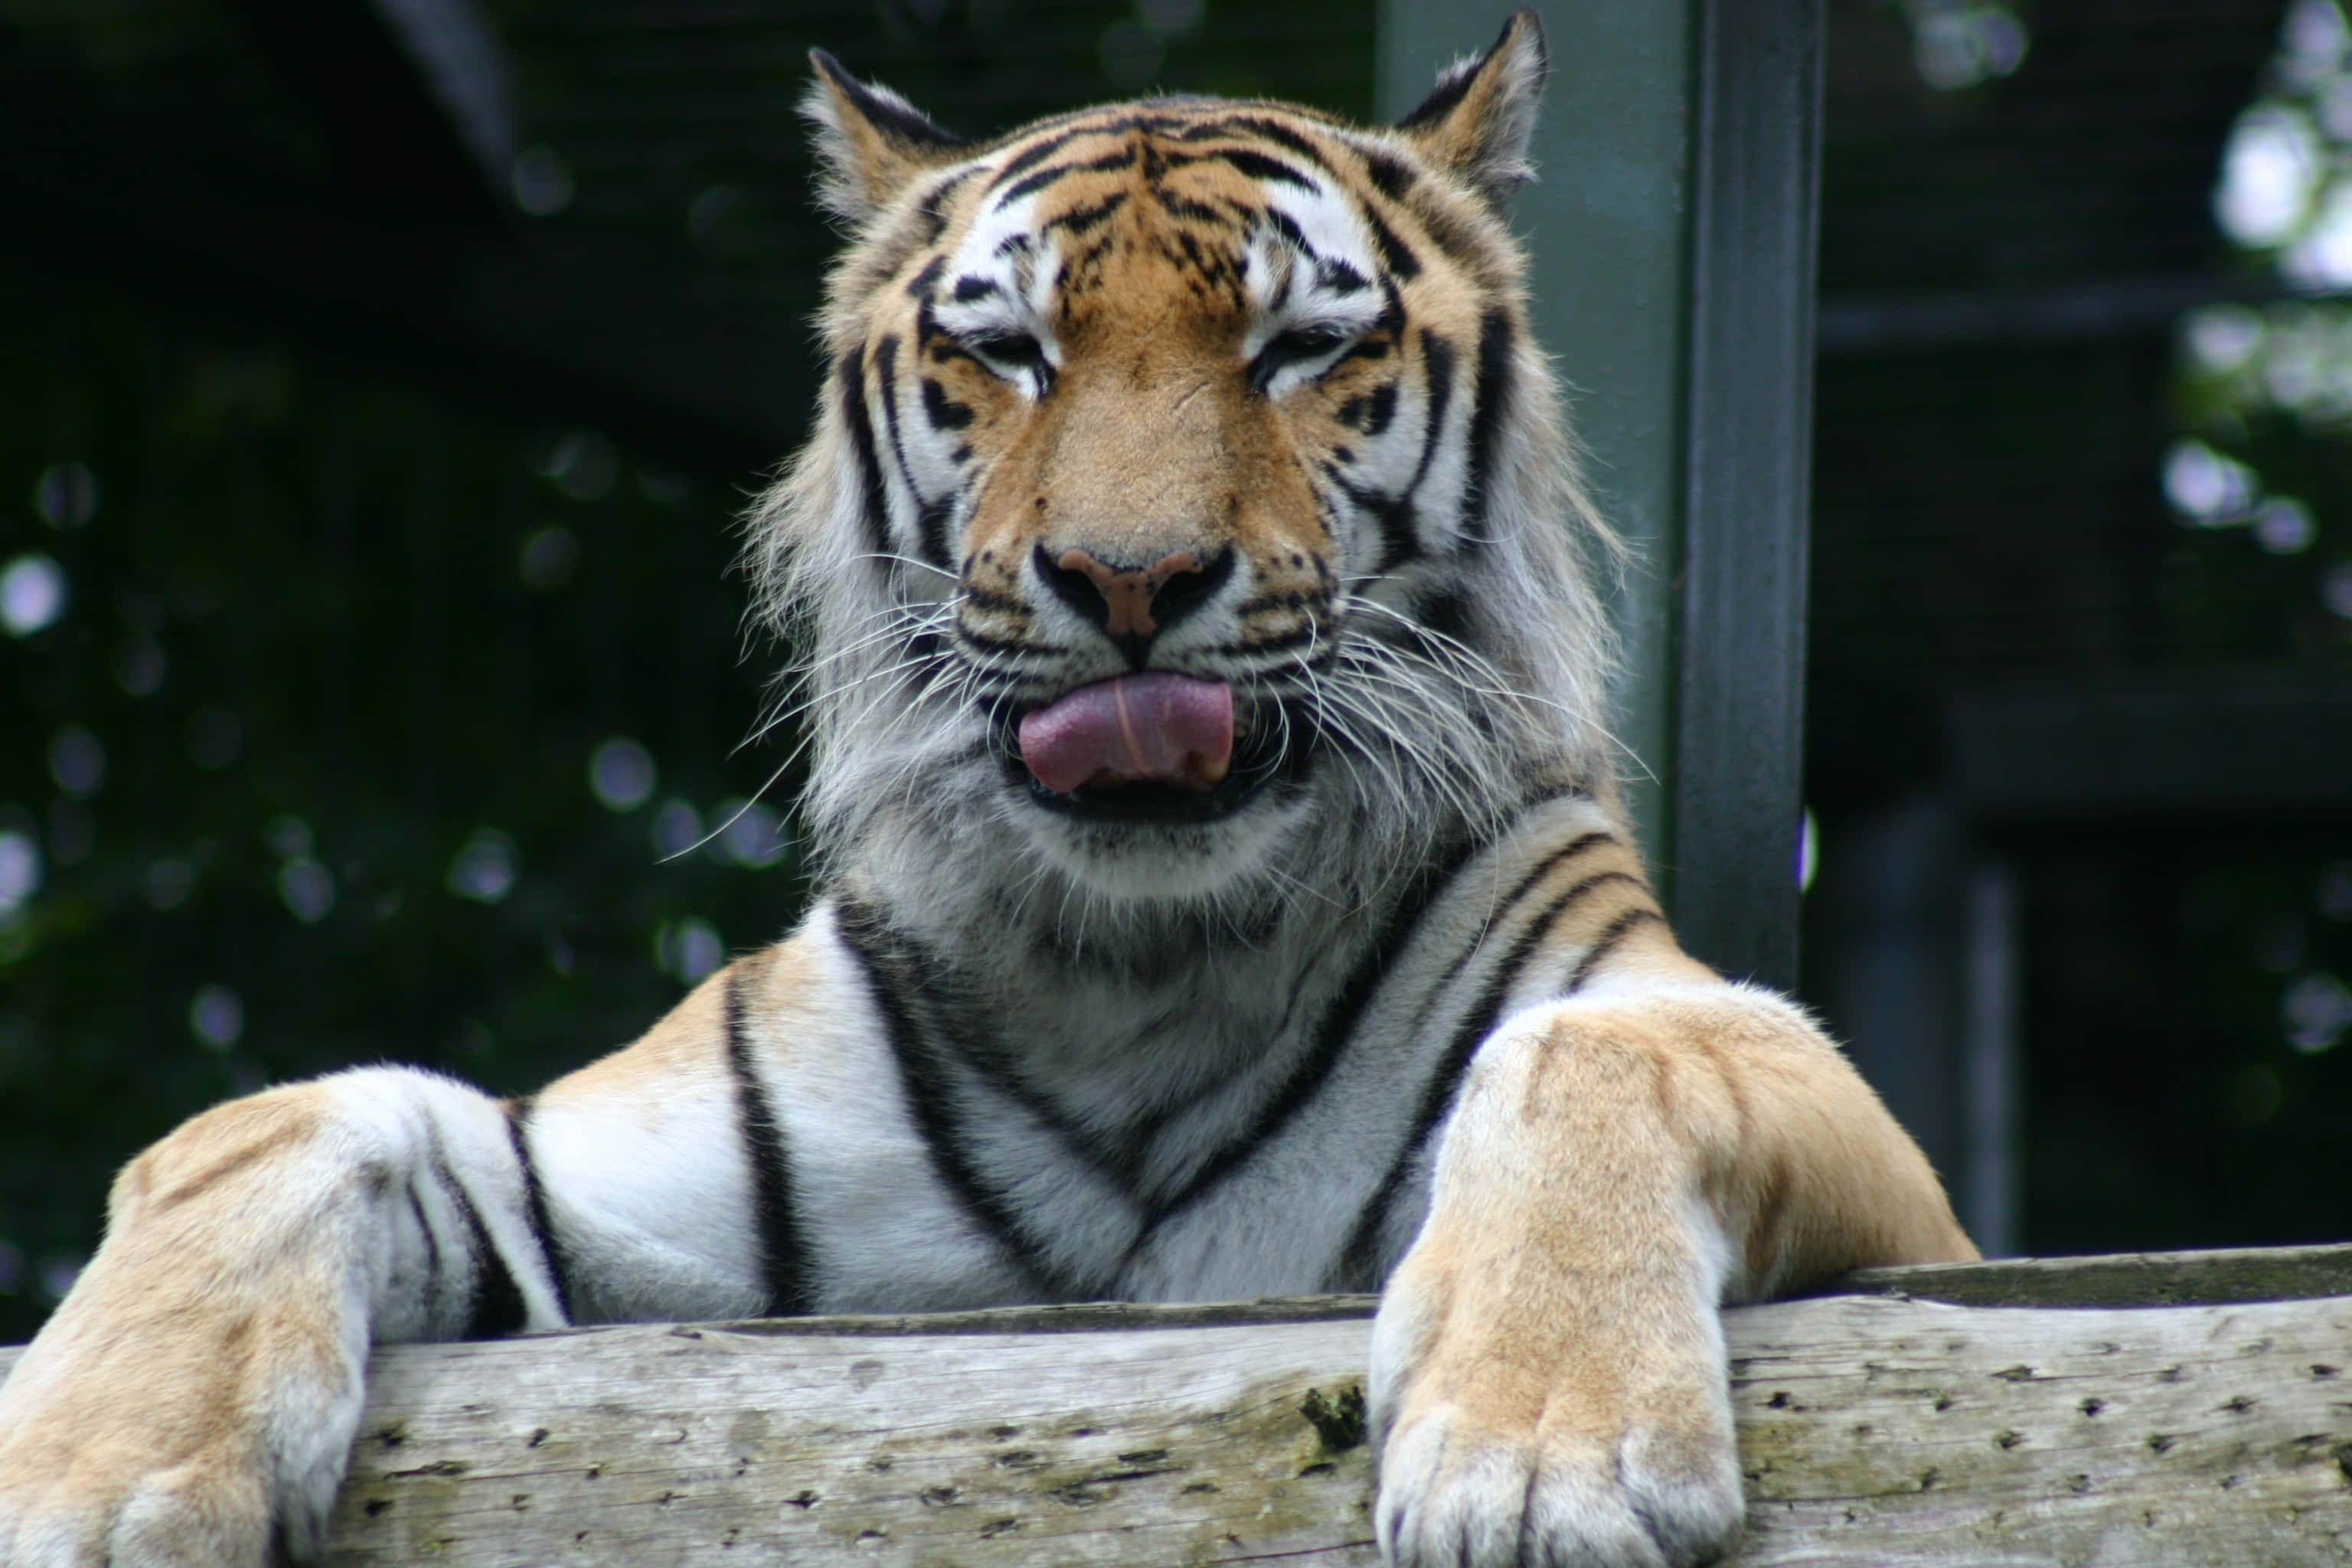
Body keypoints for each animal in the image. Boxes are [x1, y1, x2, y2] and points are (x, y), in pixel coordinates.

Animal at [0, 13, 1974, 1567]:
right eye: (1006, 350)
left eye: (1301, 351)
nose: (1127, 580)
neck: (1151, 960)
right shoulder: (624, 1201)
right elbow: (269, 1120)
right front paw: (89, 1484)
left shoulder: (1870, 1174)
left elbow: (1586, 1053)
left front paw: (1540, 1457)